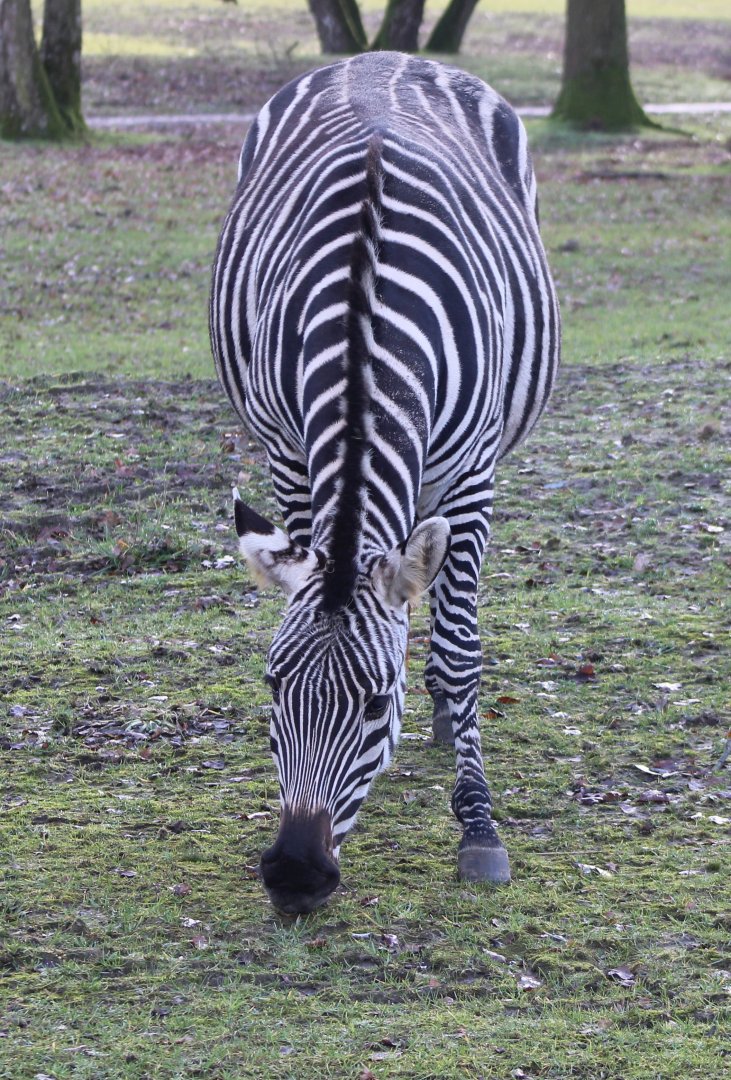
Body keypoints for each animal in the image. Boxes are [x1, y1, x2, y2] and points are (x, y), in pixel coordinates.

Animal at [210, 52, 560, 914]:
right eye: (272, 687)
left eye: (373, 703)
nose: (294, 876)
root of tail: (386, 57)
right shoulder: (287, 451)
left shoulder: (470, 473)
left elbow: (460, 647)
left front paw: (478, 828)